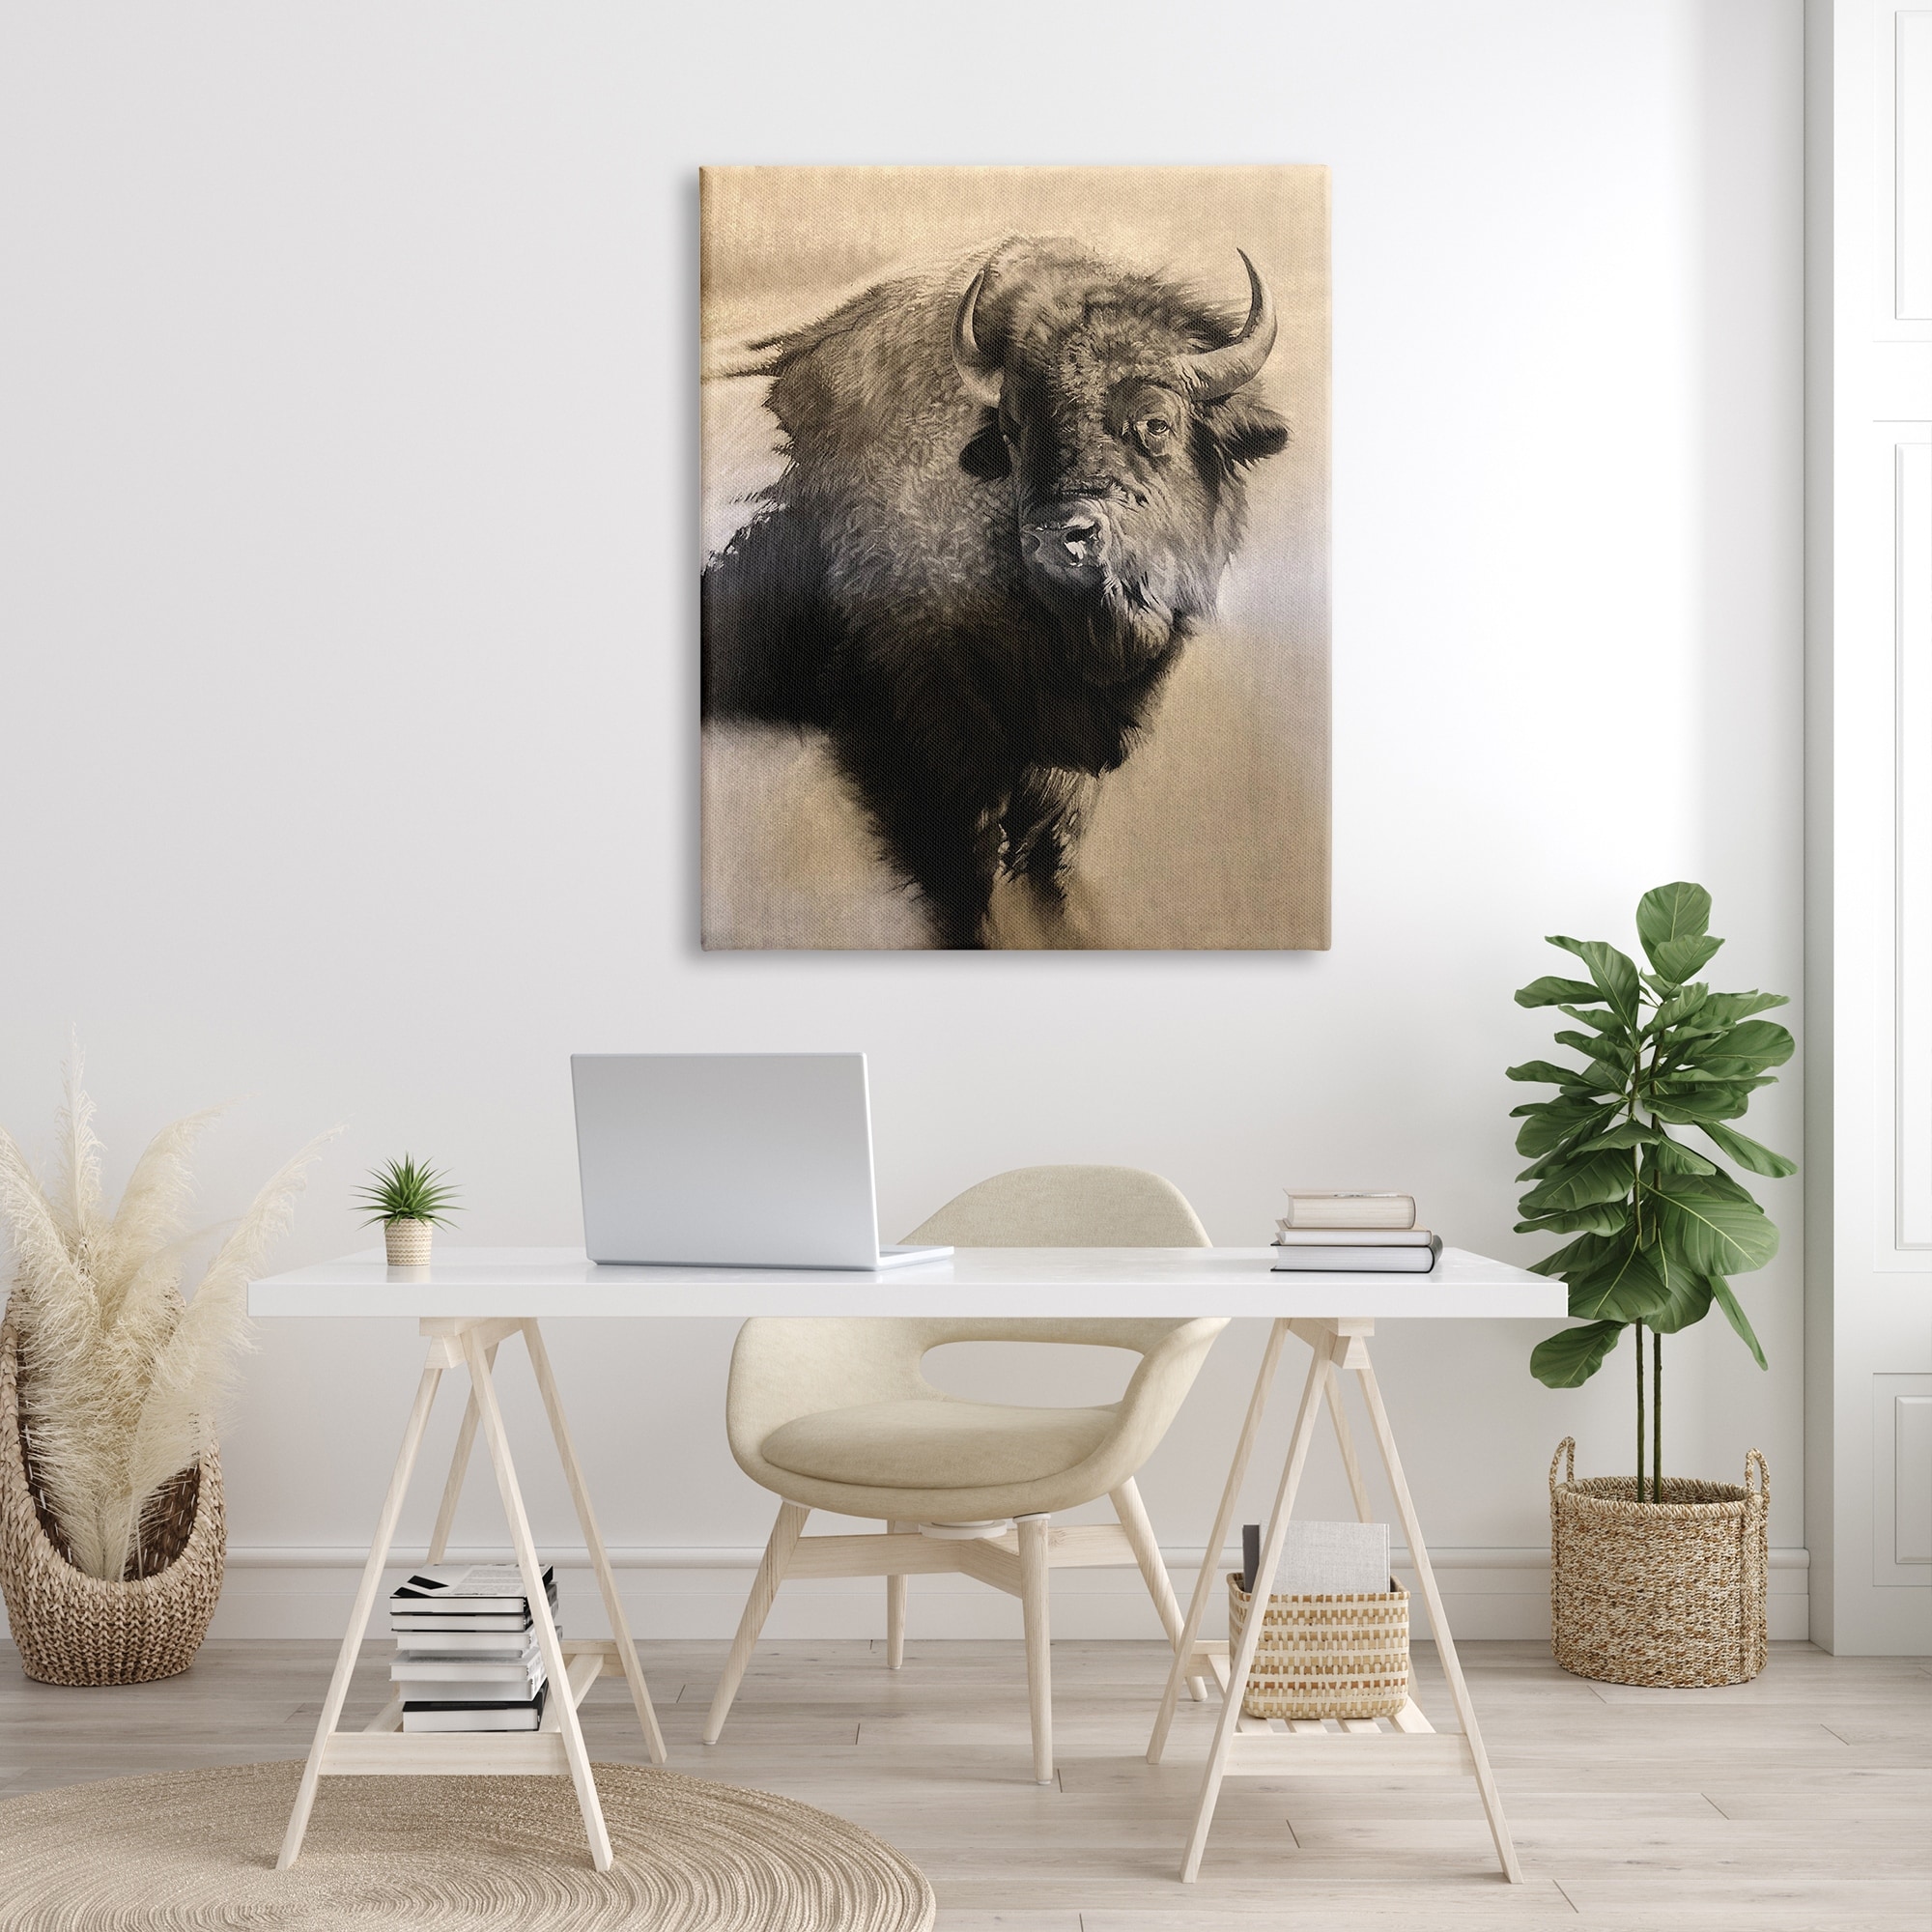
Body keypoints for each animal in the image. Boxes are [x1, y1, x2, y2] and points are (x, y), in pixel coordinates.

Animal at [702, 235, 1289, 948]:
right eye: (1012, 428)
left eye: (1156, 421)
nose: (1059, 536)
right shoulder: (935, 718)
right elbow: (971, 852)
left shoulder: (1067, 739)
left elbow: (1046, 839)